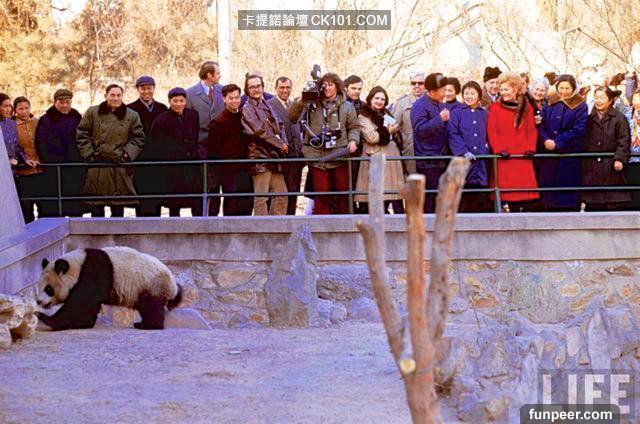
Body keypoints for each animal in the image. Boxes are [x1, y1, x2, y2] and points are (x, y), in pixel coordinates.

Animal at [36, 246, 182, 331]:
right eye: (39, 286)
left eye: (48, 289)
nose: (38, 301)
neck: (77, 266)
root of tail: (173, 286)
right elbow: (88, 305)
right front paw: (84, 323)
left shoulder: (94, 271)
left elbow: (81, 302)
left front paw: (46, 319)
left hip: (151, 284)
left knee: (151, 307)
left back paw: (147, 325)